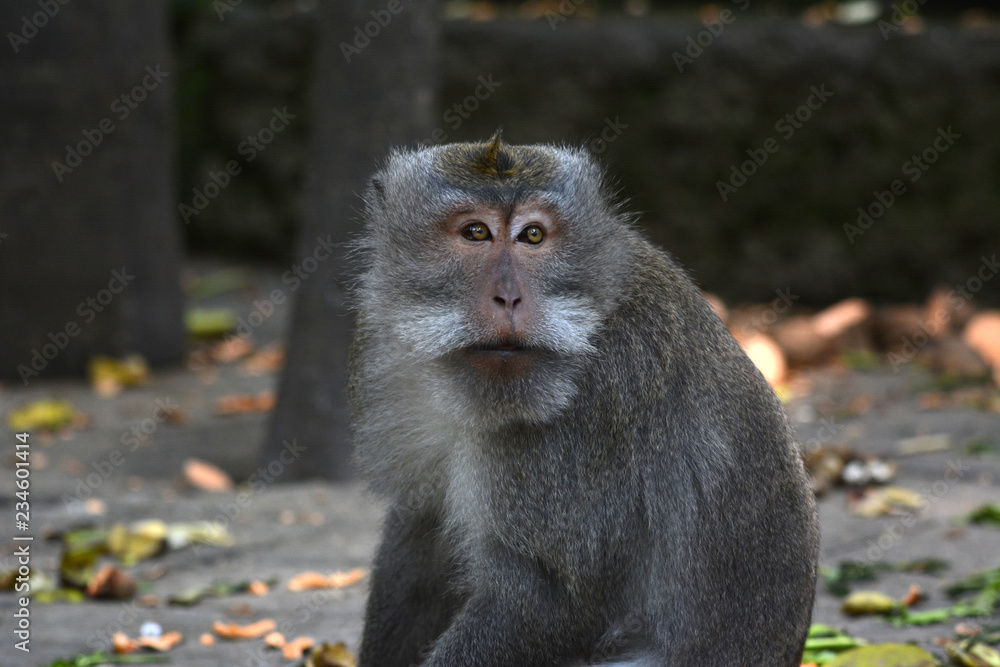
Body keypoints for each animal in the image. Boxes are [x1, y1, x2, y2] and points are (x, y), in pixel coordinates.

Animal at [347, 131, 818, 667]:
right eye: (475, 232)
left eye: (533, 235)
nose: (509, 298)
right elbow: (419, 531)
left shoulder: (596, 402)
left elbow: (547, 598)